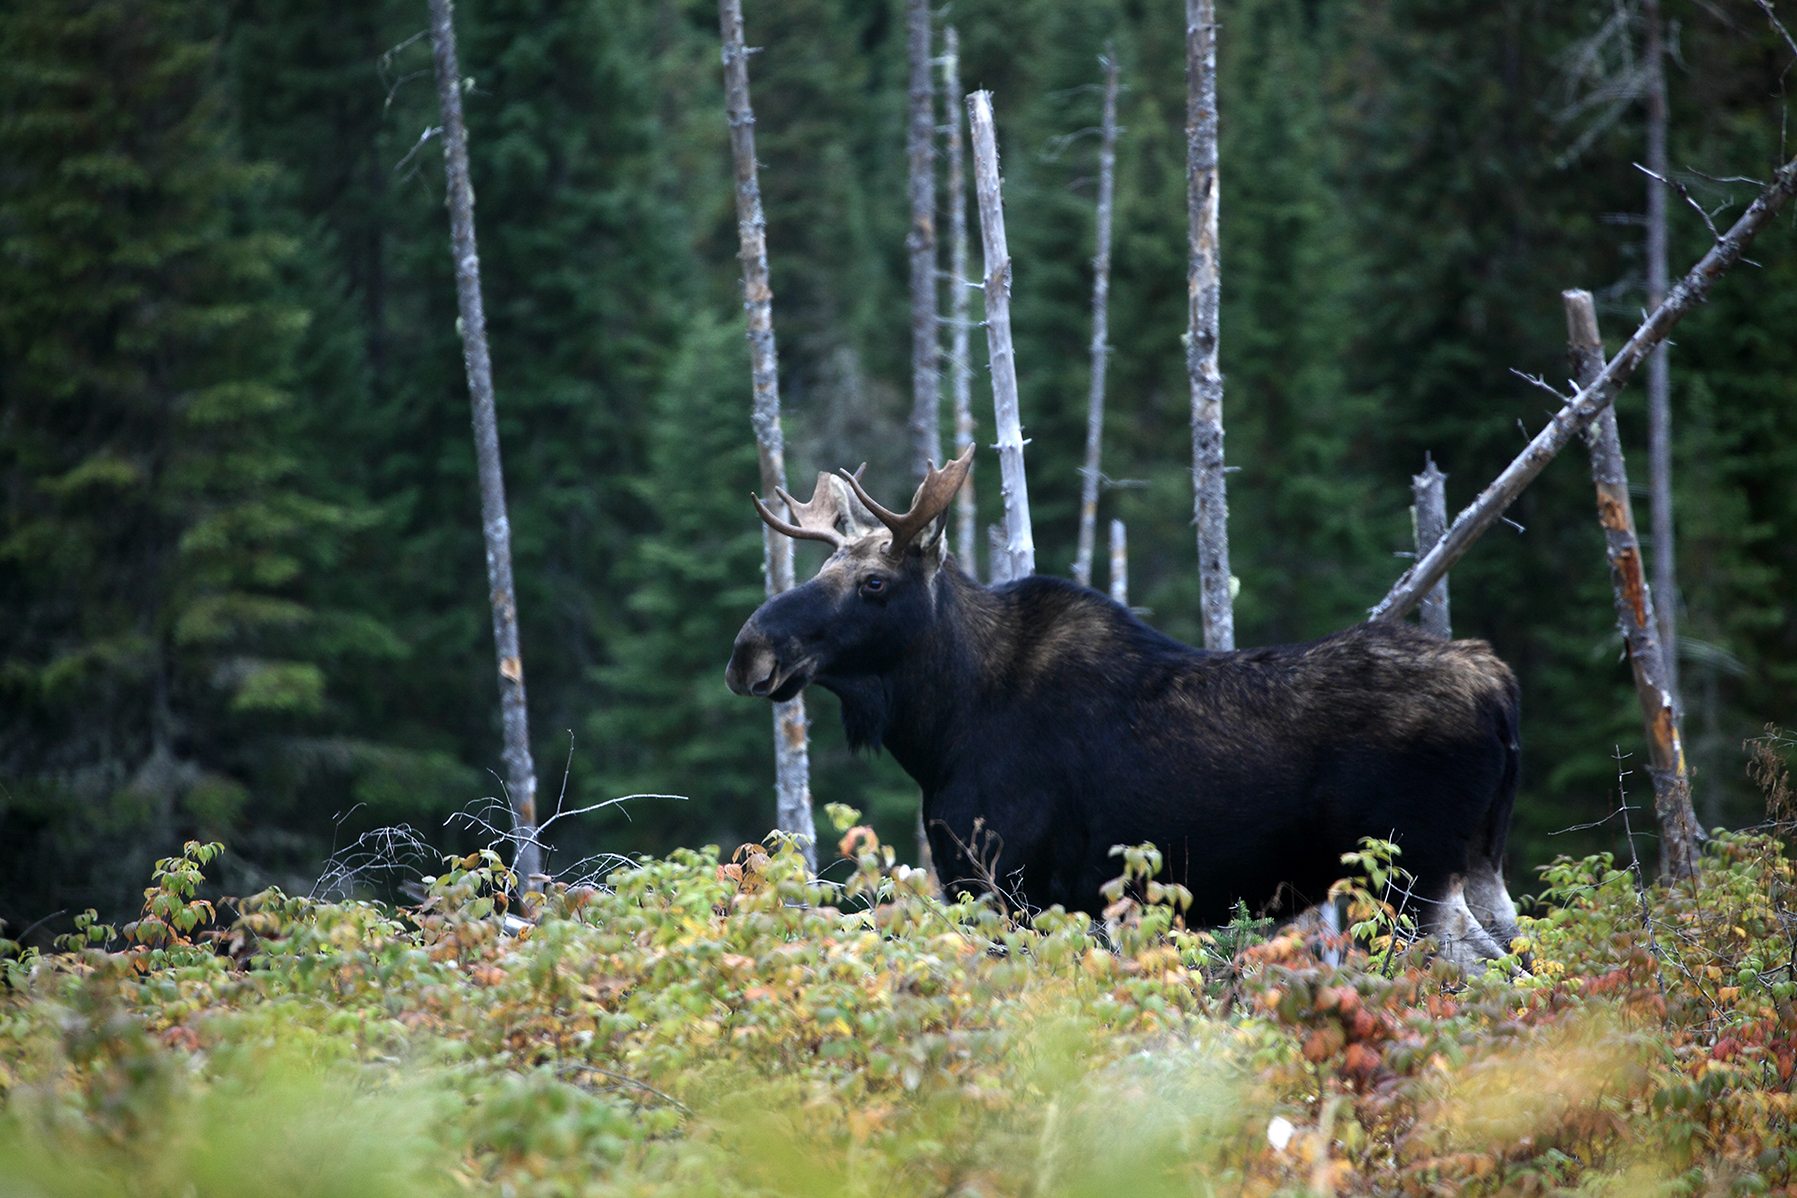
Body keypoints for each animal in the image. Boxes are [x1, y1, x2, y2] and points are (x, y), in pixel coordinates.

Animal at [722, 445, 1523, 969]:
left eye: (874, 583)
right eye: (826, 566)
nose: (747, 652)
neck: (941, 729)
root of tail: (1500, 688)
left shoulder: (1009, 884)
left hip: (1409, 871)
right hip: (1475, 865)